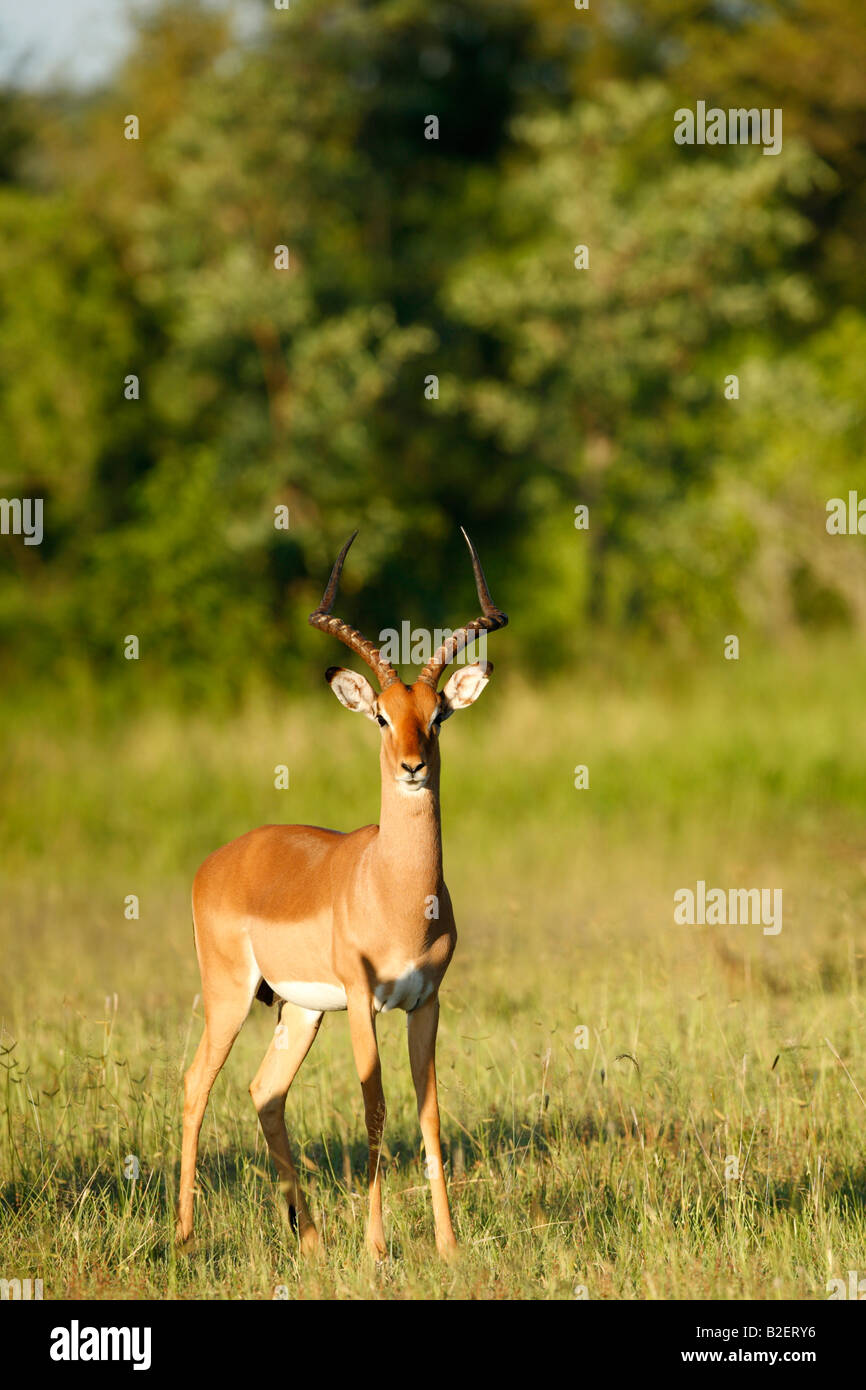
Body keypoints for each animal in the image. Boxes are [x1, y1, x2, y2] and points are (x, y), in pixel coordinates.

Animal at [176, 528, 507, 1259]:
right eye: (381, 716)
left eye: (438, 714)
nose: (413, 767)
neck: (397, 894)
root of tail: (218, 860)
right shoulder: (362, 1000)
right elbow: (375, 1110)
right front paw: (378, 1249)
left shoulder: (426, 1001)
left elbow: (429, 1113)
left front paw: (447, 1247)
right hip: (230, 996)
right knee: (194, 1085)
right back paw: (183, 1236)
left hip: (298, 1010)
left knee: (264, 1092)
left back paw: (311, 1241)